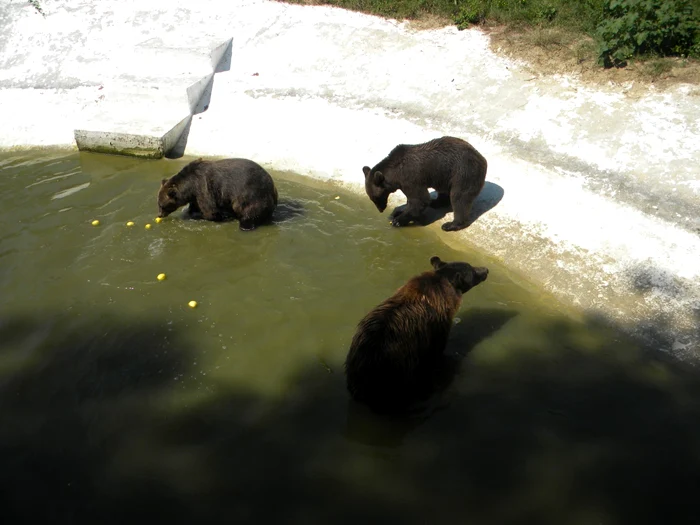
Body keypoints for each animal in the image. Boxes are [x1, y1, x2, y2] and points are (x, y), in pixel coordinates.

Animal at [344, 256, 486, 412]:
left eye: (471, 266)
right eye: (472, 270)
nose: (486, 270)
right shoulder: (436, 330)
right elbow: (437, 351)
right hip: (395, 368)